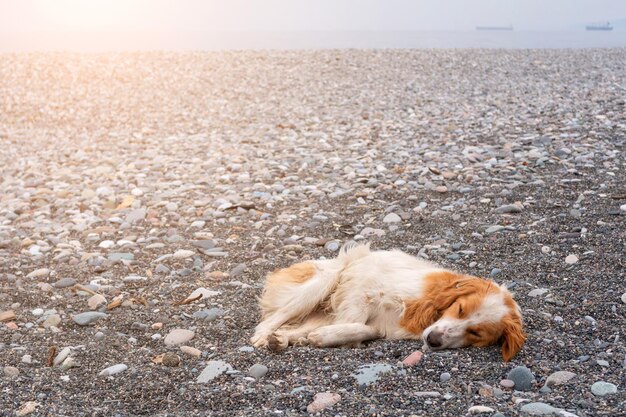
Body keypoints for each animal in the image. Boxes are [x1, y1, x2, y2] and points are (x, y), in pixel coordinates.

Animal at [251, 242, 524, 360]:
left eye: (476, 333)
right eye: (459, 308)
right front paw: (335, 336)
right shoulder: (364, 285)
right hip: (323, 281)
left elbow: (366, 329)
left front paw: (331, 337)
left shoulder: (384, 326)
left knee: (293, 329)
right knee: (272, 319)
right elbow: (357, 319)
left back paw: (282, 339)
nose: (433, 340)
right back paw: (263, 336)